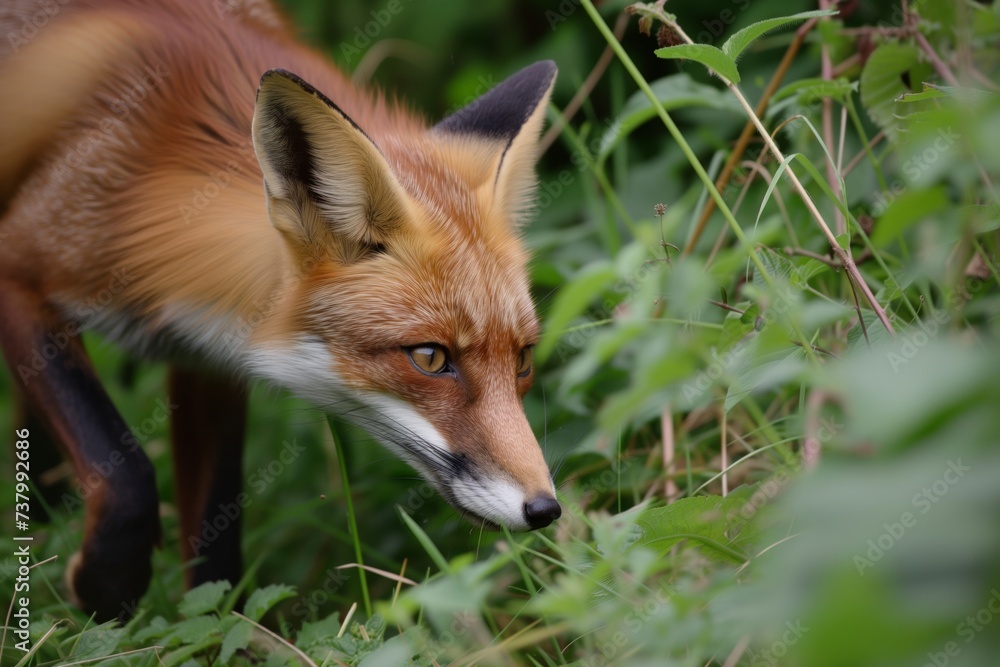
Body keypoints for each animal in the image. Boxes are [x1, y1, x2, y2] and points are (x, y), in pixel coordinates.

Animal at [0, 0, 560, 621]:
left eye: (523, 360)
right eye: (431, 358)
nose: (545, 509)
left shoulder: (204, 358)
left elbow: (217, 546)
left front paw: (219, 628)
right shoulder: (19, 267)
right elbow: (124, 473)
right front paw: (106, 587)